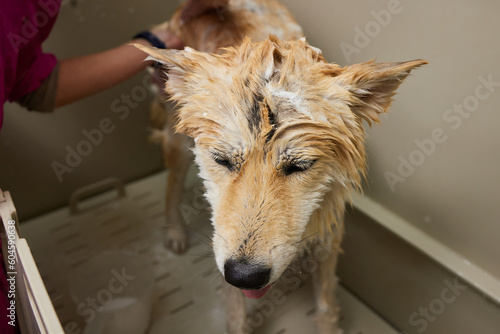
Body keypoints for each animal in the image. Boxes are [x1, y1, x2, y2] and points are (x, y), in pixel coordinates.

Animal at [136, 1, 426, 332]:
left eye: (299, 166)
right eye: (222, 160)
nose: (245, 276)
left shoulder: (329, 232)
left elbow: (326, 308)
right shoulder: (223, 248)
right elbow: (236, 317)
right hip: (177, 142)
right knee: (172, 184)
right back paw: (175, 232)